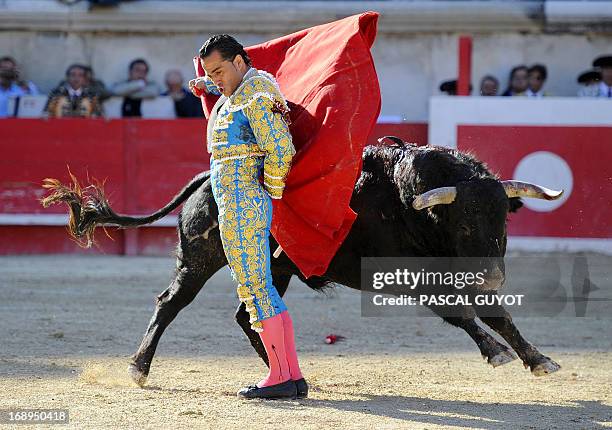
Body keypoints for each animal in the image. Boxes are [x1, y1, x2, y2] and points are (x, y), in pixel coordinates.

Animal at [39, 137, 564, 386]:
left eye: (503, 219)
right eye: (465, 222)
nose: (495, 274)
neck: (410, 202)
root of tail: (208, 176)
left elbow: (491, 312)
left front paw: (535, 358)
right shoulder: (411, 275)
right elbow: (466, 312)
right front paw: (506, 354)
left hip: (276, 268)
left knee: (247, 315)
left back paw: (284, 372)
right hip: (201, 261)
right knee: (170, 303)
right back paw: (138, 368)